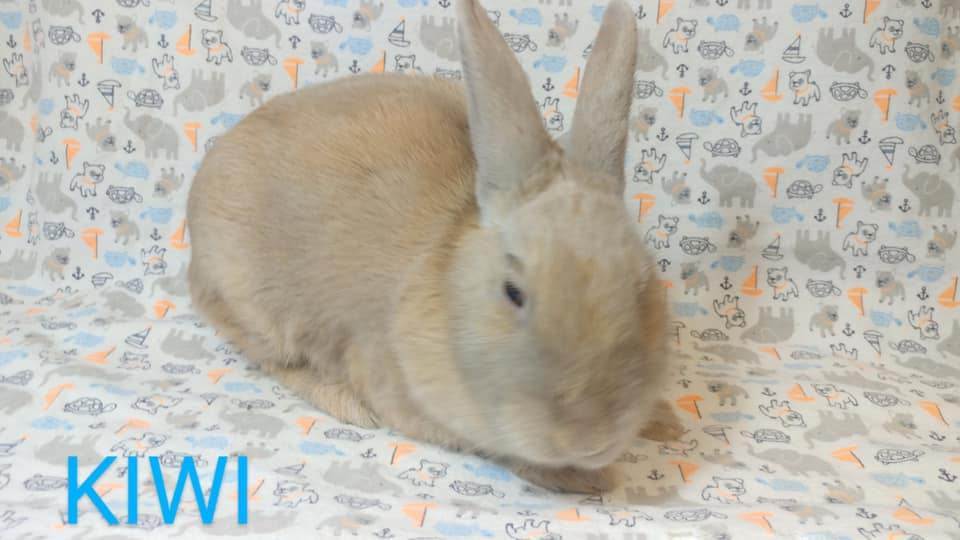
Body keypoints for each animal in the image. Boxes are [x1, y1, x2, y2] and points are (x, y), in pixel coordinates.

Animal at [187, 0, 673, 494]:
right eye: (512, 292)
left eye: (642, 287)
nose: (591, 440)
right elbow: (497, 450)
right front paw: (588, 478)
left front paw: (664, 421)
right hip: (253, 303)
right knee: (272, 357)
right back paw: (346, 403)